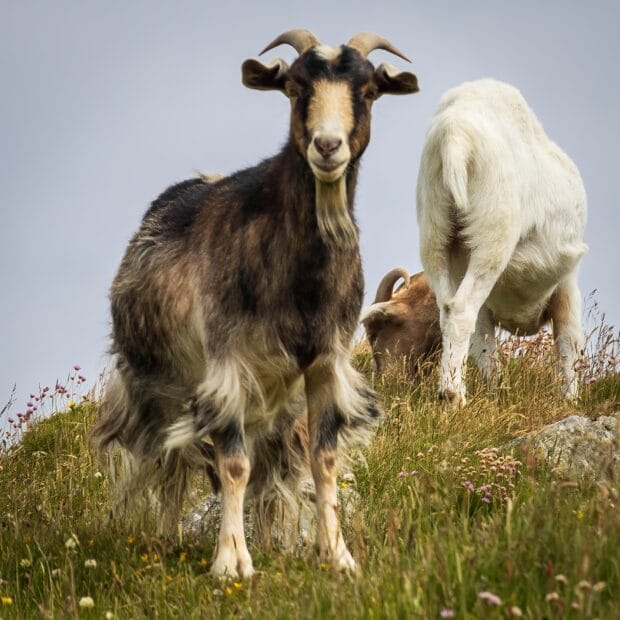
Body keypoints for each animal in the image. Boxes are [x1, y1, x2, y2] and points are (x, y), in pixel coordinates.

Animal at [416, 78, 588, 406]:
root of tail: (455, 131)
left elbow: (485, 347)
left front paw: (494, 397)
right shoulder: (567, 283)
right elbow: (569, 344)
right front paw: (570, 401)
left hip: (434, 232)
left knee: (449, 310)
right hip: (493, 233)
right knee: (461, 310)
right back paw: (453, 396)